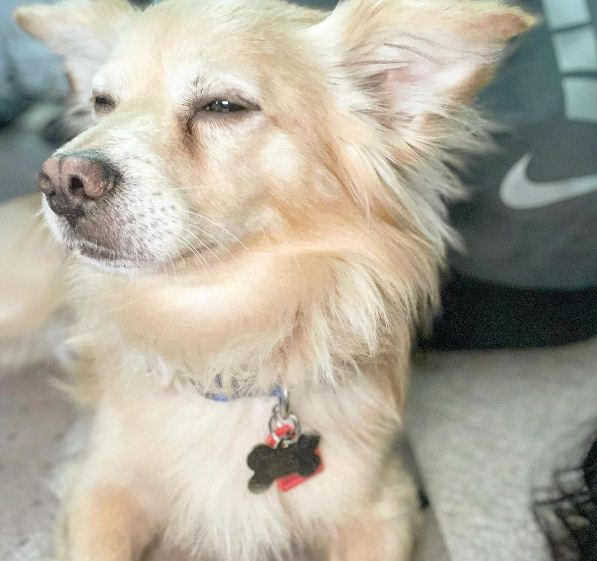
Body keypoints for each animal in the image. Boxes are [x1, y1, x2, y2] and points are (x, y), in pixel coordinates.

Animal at [5, 1, 532, 560]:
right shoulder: (99, 489)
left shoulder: (383, 504)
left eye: (223, 106)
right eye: (101, 103)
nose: (62, 179)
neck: (217, 337)